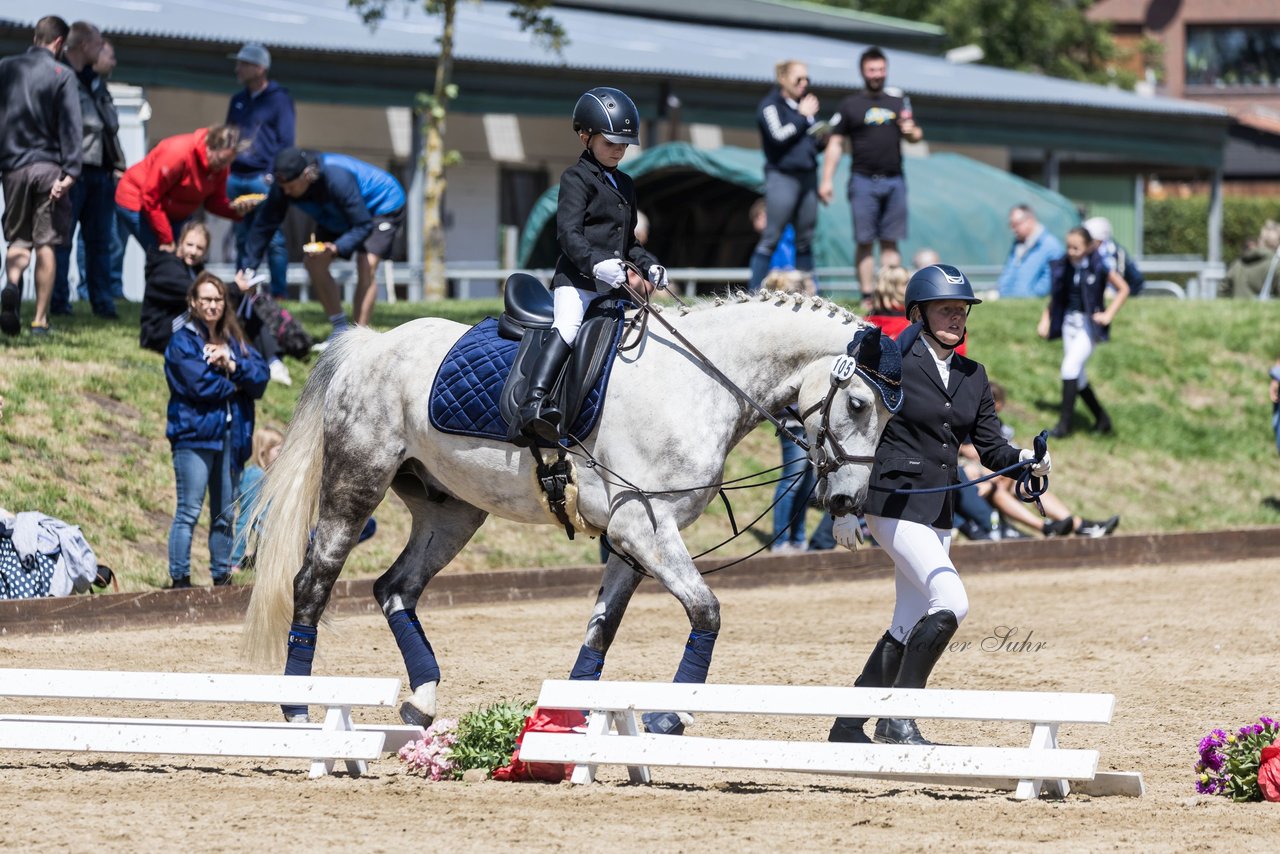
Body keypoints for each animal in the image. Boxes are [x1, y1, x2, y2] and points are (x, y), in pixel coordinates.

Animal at [241, 290, 890, 732]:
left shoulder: (634, 539)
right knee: (313, 582)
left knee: (396, 588)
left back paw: (421, 700)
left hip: (451, 512)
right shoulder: (644, 529)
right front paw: (670, 718)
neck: (697, 382)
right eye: (859, 403)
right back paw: (298, 710)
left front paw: (571, 723)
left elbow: (602, 627)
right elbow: (705, 611)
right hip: (355, 483)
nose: (849, 503)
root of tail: (371, 342)